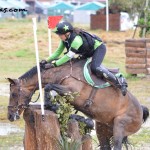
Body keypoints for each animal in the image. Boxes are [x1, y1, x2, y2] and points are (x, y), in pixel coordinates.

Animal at [7, 59, 149, 149]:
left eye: (13, 94)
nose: (10, 116)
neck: (63, 73)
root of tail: (141, 110)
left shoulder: (71, 91)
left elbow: (48, 87)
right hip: (103, 128)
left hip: (120, 126)